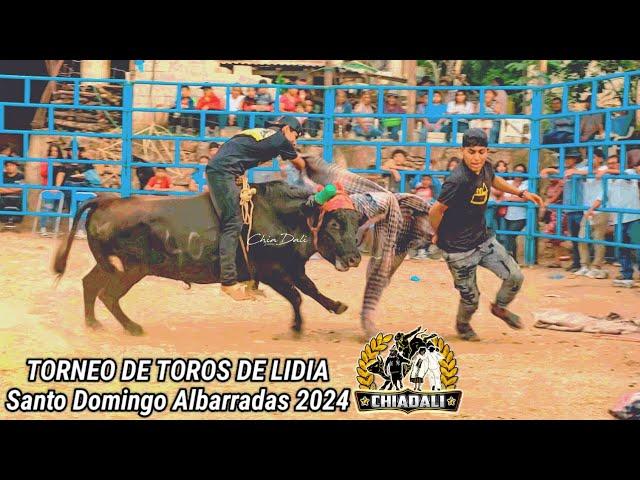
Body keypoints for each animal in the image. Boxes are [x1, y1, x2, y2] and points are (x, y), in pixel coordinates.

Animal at [52, 182, 362, 336]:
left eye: (356, 221)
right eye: (335, 224)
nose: (355, 258)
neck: (282, 215)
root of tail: (108, 201)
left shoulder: (293, 267)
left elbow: (311, 289)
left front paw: (337, 306)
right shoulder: (271, 272)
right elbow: (297, 296)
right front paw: (297, 327)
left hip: (109, 265)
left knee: (89, 284)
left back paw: (93, 323)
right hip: (131, 269)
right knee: (108, 295)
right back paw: (133, 328)